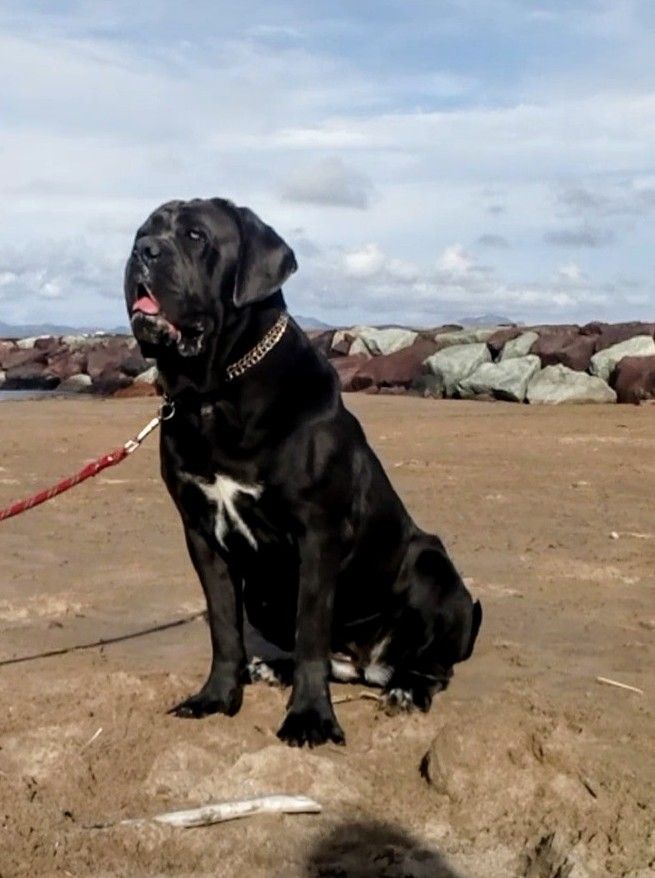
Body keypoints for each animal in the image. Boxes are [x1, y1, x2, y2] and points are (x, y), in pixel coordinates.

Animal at [124, 201, 482, 748]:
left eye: (195, 235)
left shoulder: (317, 534)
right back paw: (273, 668)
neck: (215, 392)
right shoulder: (202, 534)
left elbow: (311, 629)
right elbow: (224, 627)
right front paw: (216, 698)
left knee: (433, 667)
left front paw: (310, 719)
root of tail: (366, 664)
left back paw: (406, 690)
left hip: (433, 568)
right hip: (264, 595)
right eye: (144, 231)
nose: (142, 251)